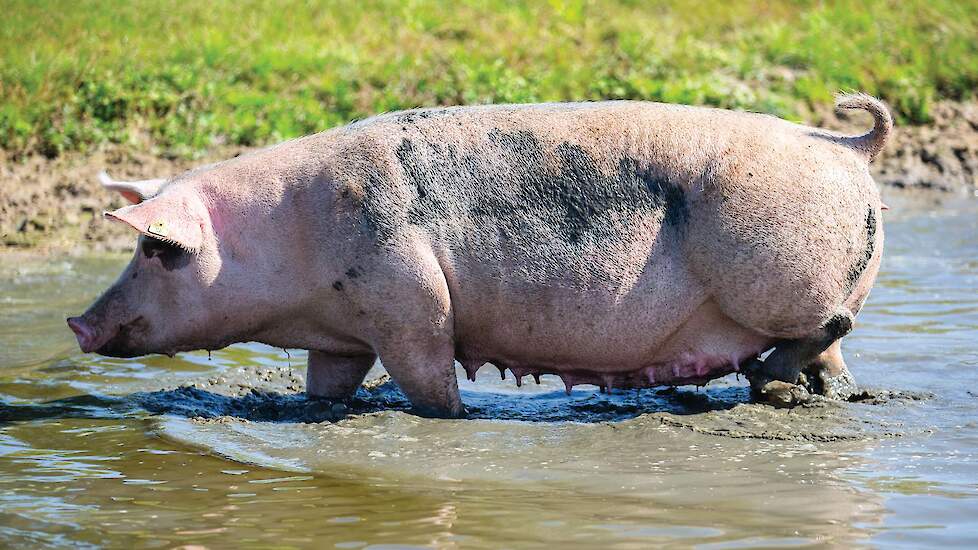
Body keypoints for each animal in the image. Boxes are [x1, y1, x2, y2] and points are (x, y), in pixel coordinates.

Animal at [68, 94, 888, 418]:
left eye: (156, 248)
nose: (78, 323)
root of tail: (843, 145)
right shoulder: (345, 331)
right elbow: (326, 386)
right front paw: (317, 411)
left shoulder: (408, 301)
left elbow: (430, 378)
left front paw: (456, 417)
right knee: (833, 360)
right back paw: (794, 392)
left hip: (777, 274)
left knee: (829, 327)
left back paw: (764, 379)